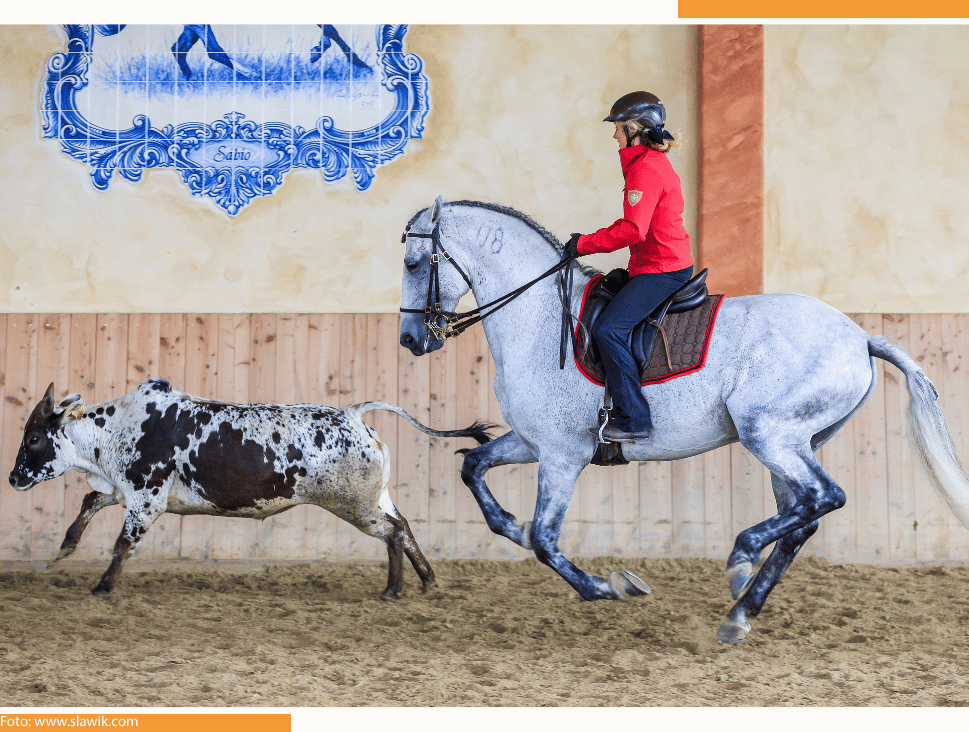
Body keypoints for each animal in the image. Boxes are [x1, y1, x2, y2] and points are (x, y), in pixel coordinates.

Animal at [397, 196, 969, 643]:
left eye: (413, 263)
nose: (410, 340)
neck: (537, 320)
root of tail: (859, 337)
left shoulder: (562, 453)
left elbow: (544, 539)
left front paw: (608, 586)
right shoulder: (532, 441)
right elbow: (475, 469)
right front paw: (512, 525)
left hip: (771, 435)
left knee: (824, 496)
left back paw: (740, 560)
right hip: (796, 443)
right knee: (803, 517)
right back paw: (739, 614)